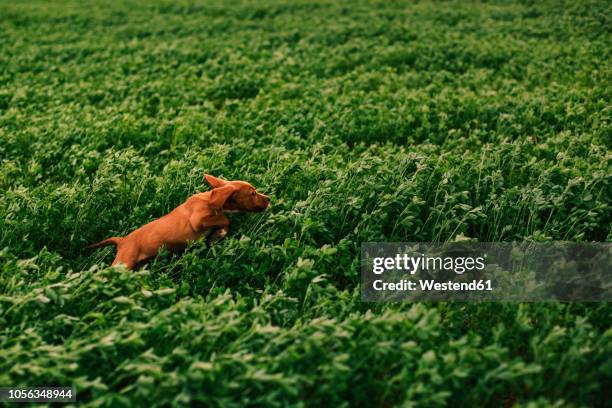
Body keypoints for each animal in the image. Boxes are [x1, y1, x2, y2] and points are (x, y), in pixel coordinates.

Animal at [87, 174, 268, 270]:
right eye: (253, 193)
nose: (269, 199)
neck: (210, 199)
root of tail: (122, 240)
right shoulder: (197, 220)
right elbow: (224, 219)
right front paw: (218, 234)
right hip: (124, 263)